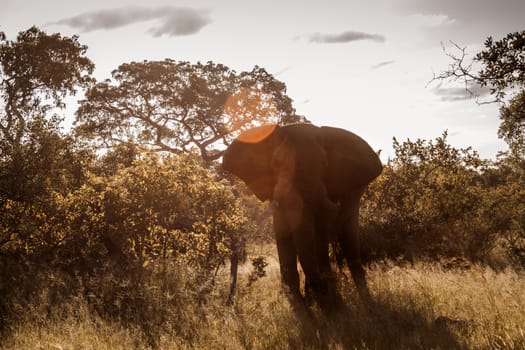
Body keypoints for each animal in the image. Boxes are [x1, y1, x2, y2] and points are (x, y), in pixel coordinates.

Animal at [221, 123, 380, 308]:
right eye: (276, 163)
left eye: (324, 164)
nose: (322, 284)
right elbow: (285, 235)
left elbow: (320, 233)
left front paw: (331, 306)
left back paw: (369, 306)